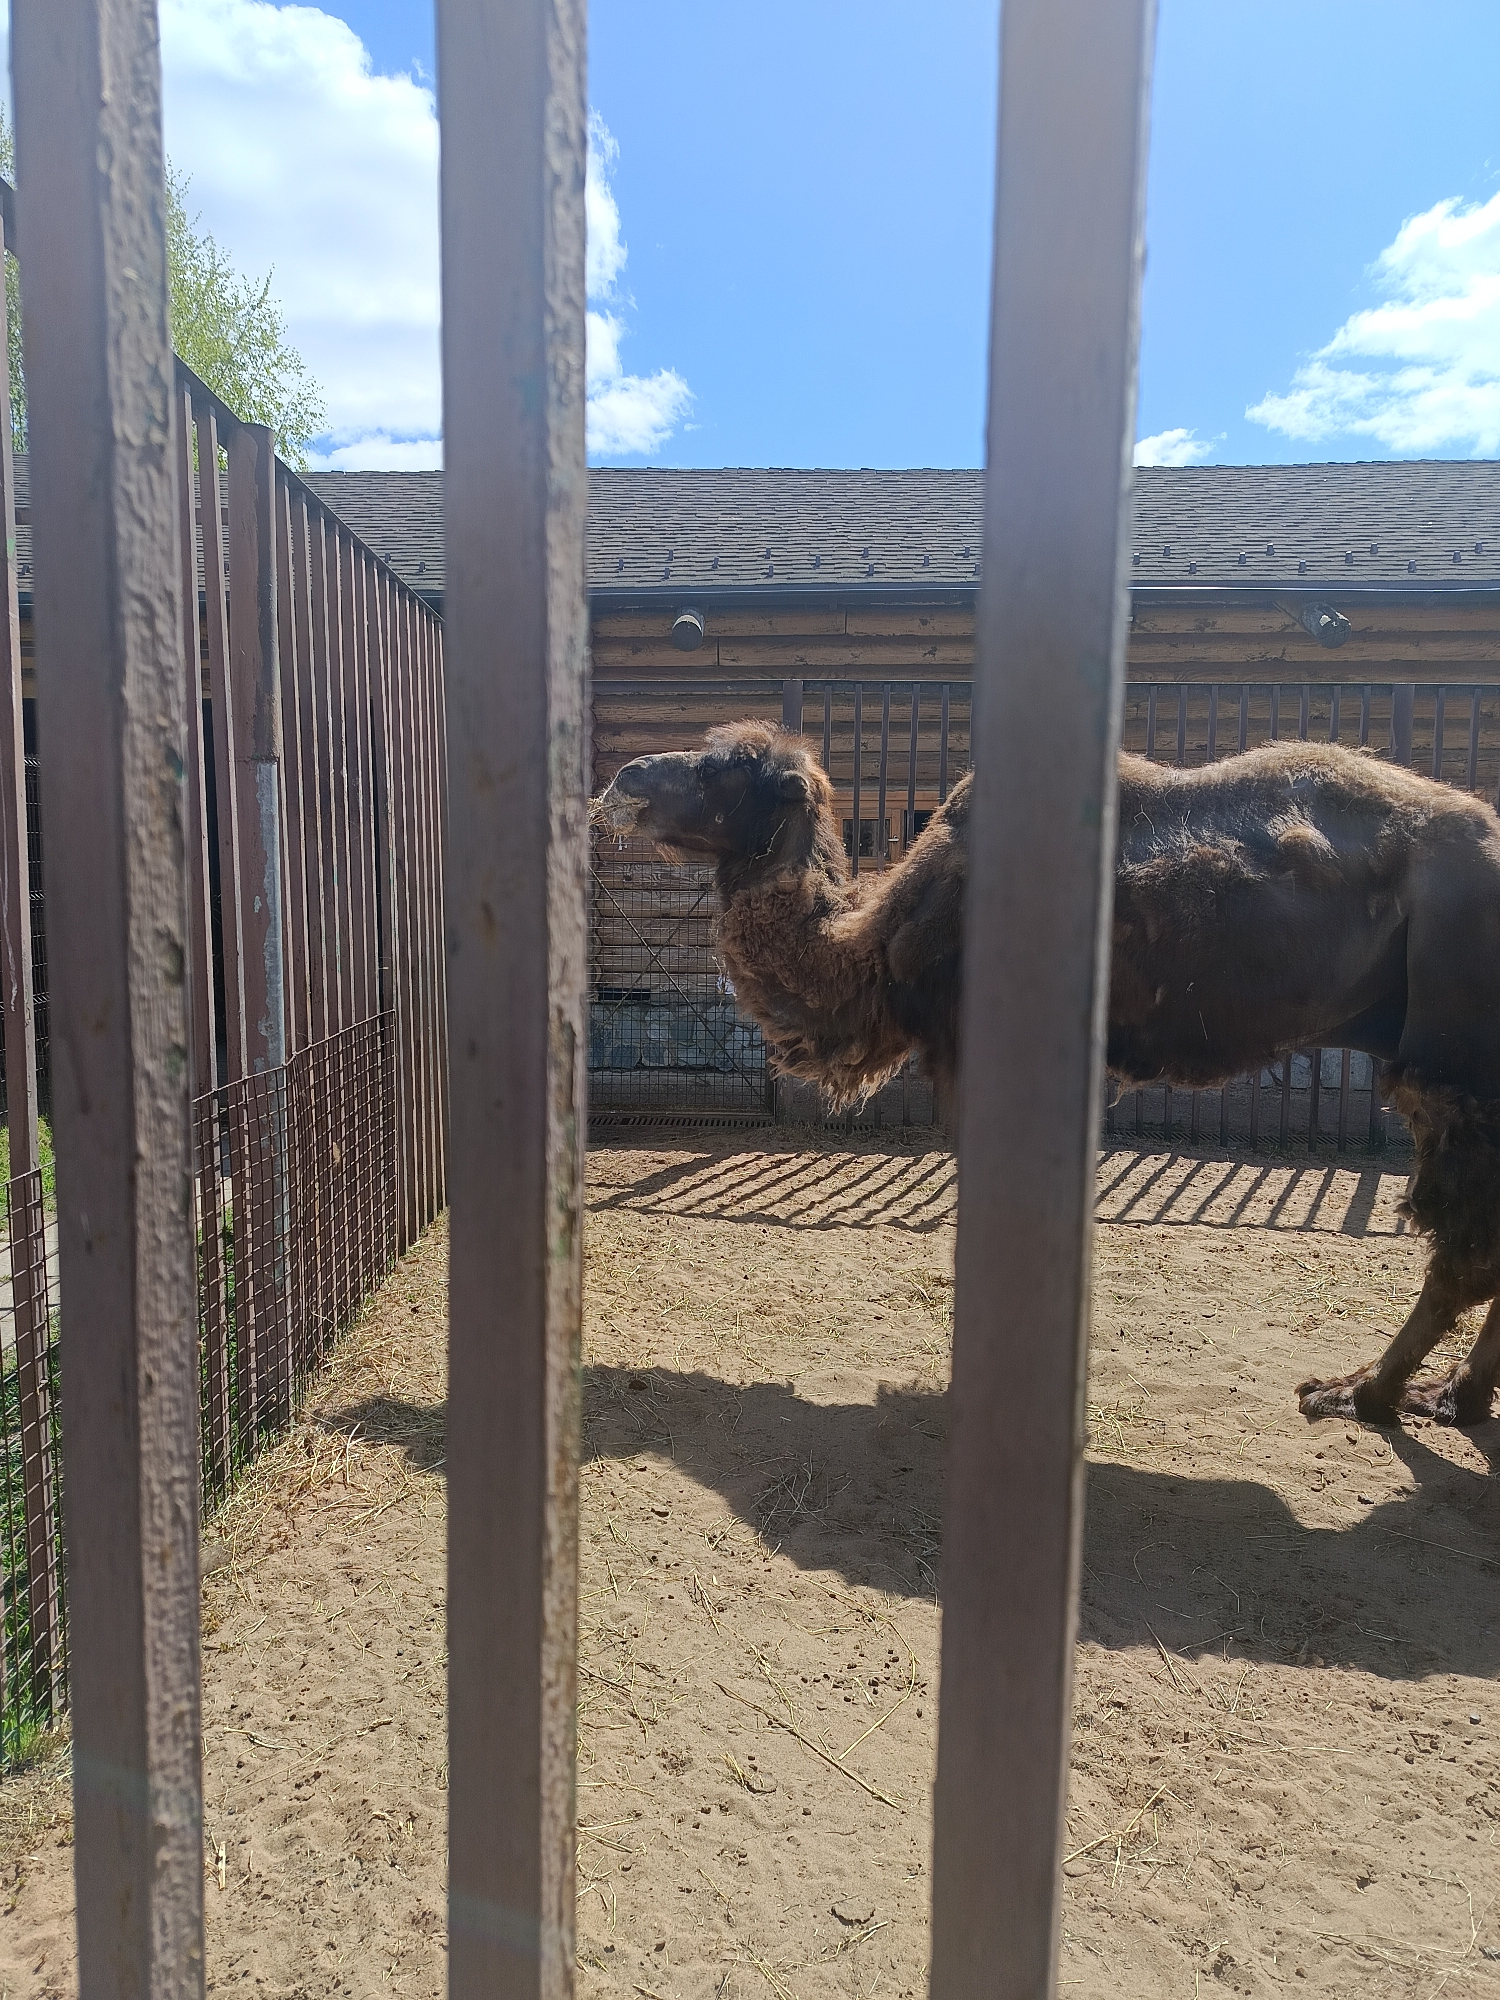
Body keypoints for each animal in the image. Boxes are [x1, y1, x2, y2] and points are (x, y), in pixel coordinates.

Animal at [596, 719, 1500, 1432]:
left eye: (722, 767)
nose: (624, 775)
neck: (877, 944)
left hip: (1454, 1058)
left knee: (1465, 1247)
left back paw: (1363, 1394)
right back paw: (1451, 1397)